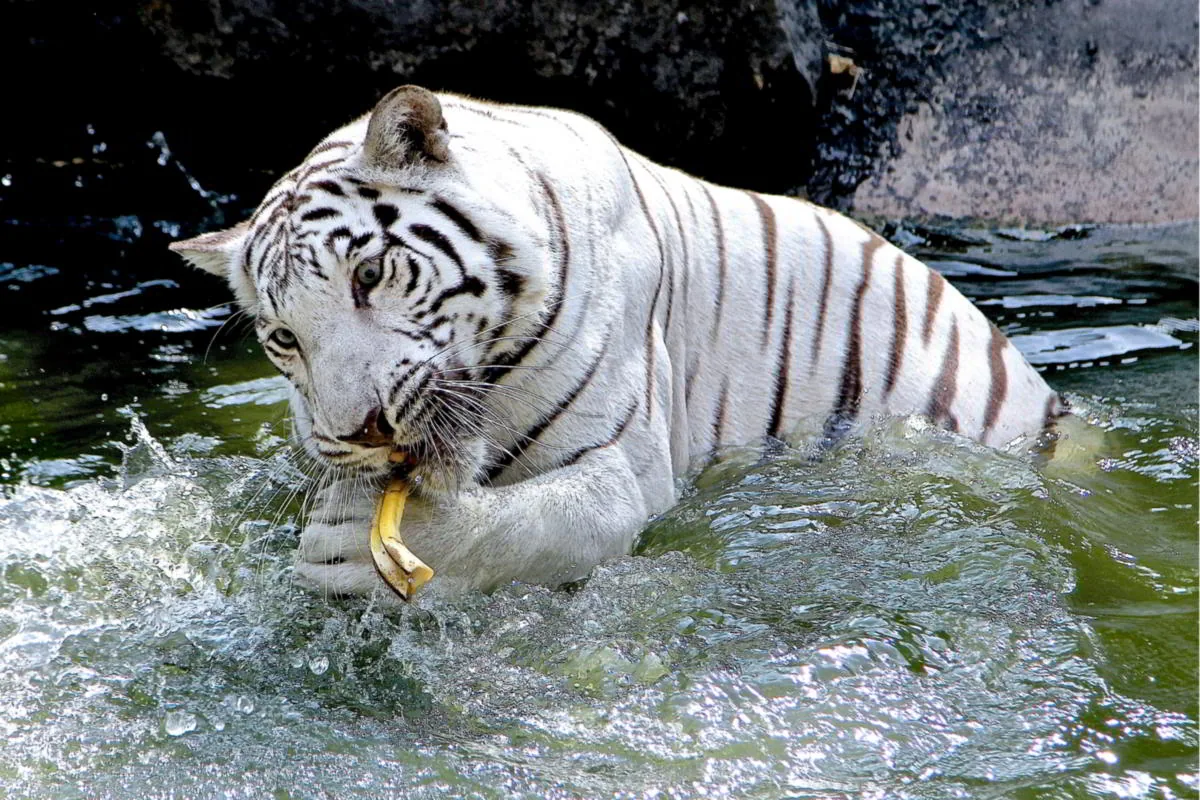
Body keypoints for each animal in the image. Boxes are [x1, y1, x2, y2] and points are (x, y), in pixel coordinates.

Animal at [170, 85, 1066, 596]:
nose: (362, 431)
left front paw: (353, 549)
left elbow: (533, 522)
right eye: (284, 337)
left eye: (368, 274)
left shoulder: (626, 465)